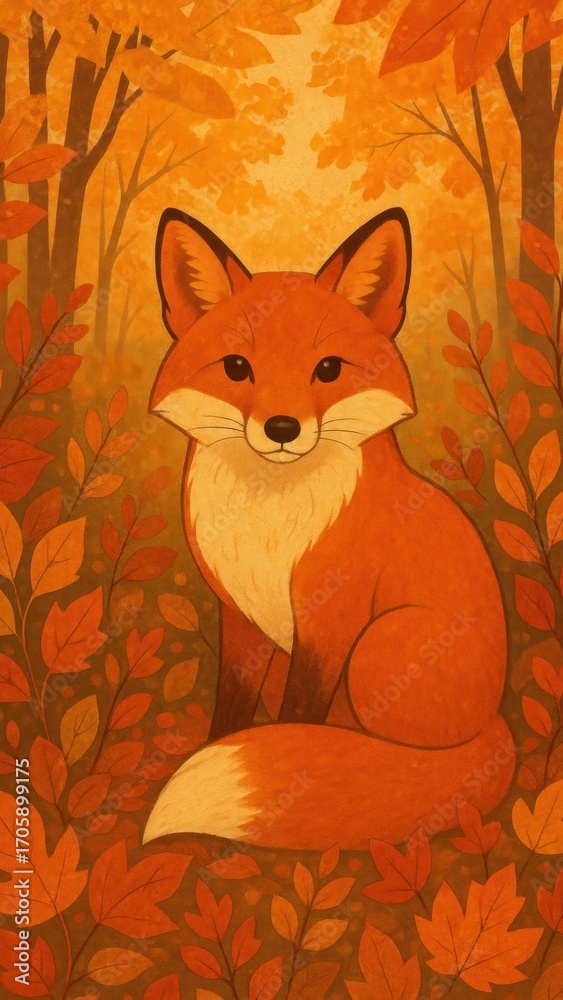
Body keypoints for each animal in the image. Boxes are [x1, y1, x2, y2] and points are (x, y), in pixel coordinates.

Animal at [142, 207, 515, 851]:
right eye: (237, 368)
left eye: (328, 370)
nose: (282, 428)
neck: (271, 520)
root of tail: (494, 722)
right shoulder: (240, 617)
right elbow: (232, 707)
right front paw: (222, 747)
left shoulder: (331, 619)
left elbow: (299, 717)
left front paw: (294, 773)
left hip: (380, 649)